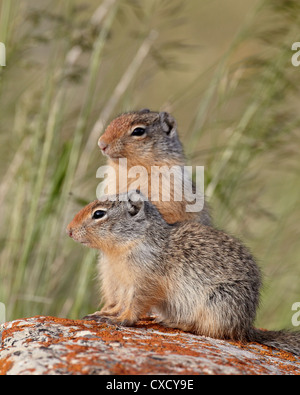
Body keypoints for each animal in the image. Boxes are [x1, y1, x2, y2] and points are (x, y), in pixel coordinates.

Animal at [67, 192, 300, 358]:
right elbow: (118, 303)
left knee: (210, 331)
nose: (69, 230)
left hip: (217, 303)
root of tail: (246, 326)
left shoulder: (144, 282)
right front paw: (102, 313)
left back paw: (174, 323)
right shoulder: (118, 282)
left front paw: (120, 320)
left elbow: (134, 305)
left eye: (99, 214)